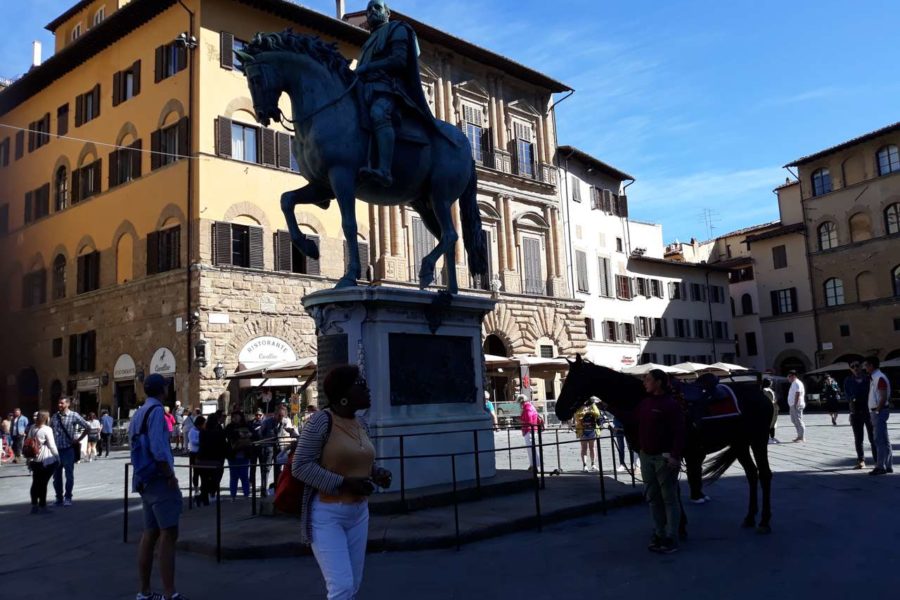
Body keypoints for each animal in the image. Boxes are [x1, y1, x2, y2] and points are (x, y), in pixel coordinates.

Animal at [556, 354, 772, 532]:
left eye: (573, 380)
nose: (558, 410)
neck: (642, 399)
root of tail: (760, 392)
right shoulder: (650, 453)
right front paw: (670, 523)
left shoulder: (671, 453)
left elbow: (671, 488)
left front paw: (679, 525)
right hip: (740, 443)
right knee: (752, 474)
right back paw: (750, 517)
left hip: (758, 439)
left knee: (764, 474)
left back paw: (764, 521)